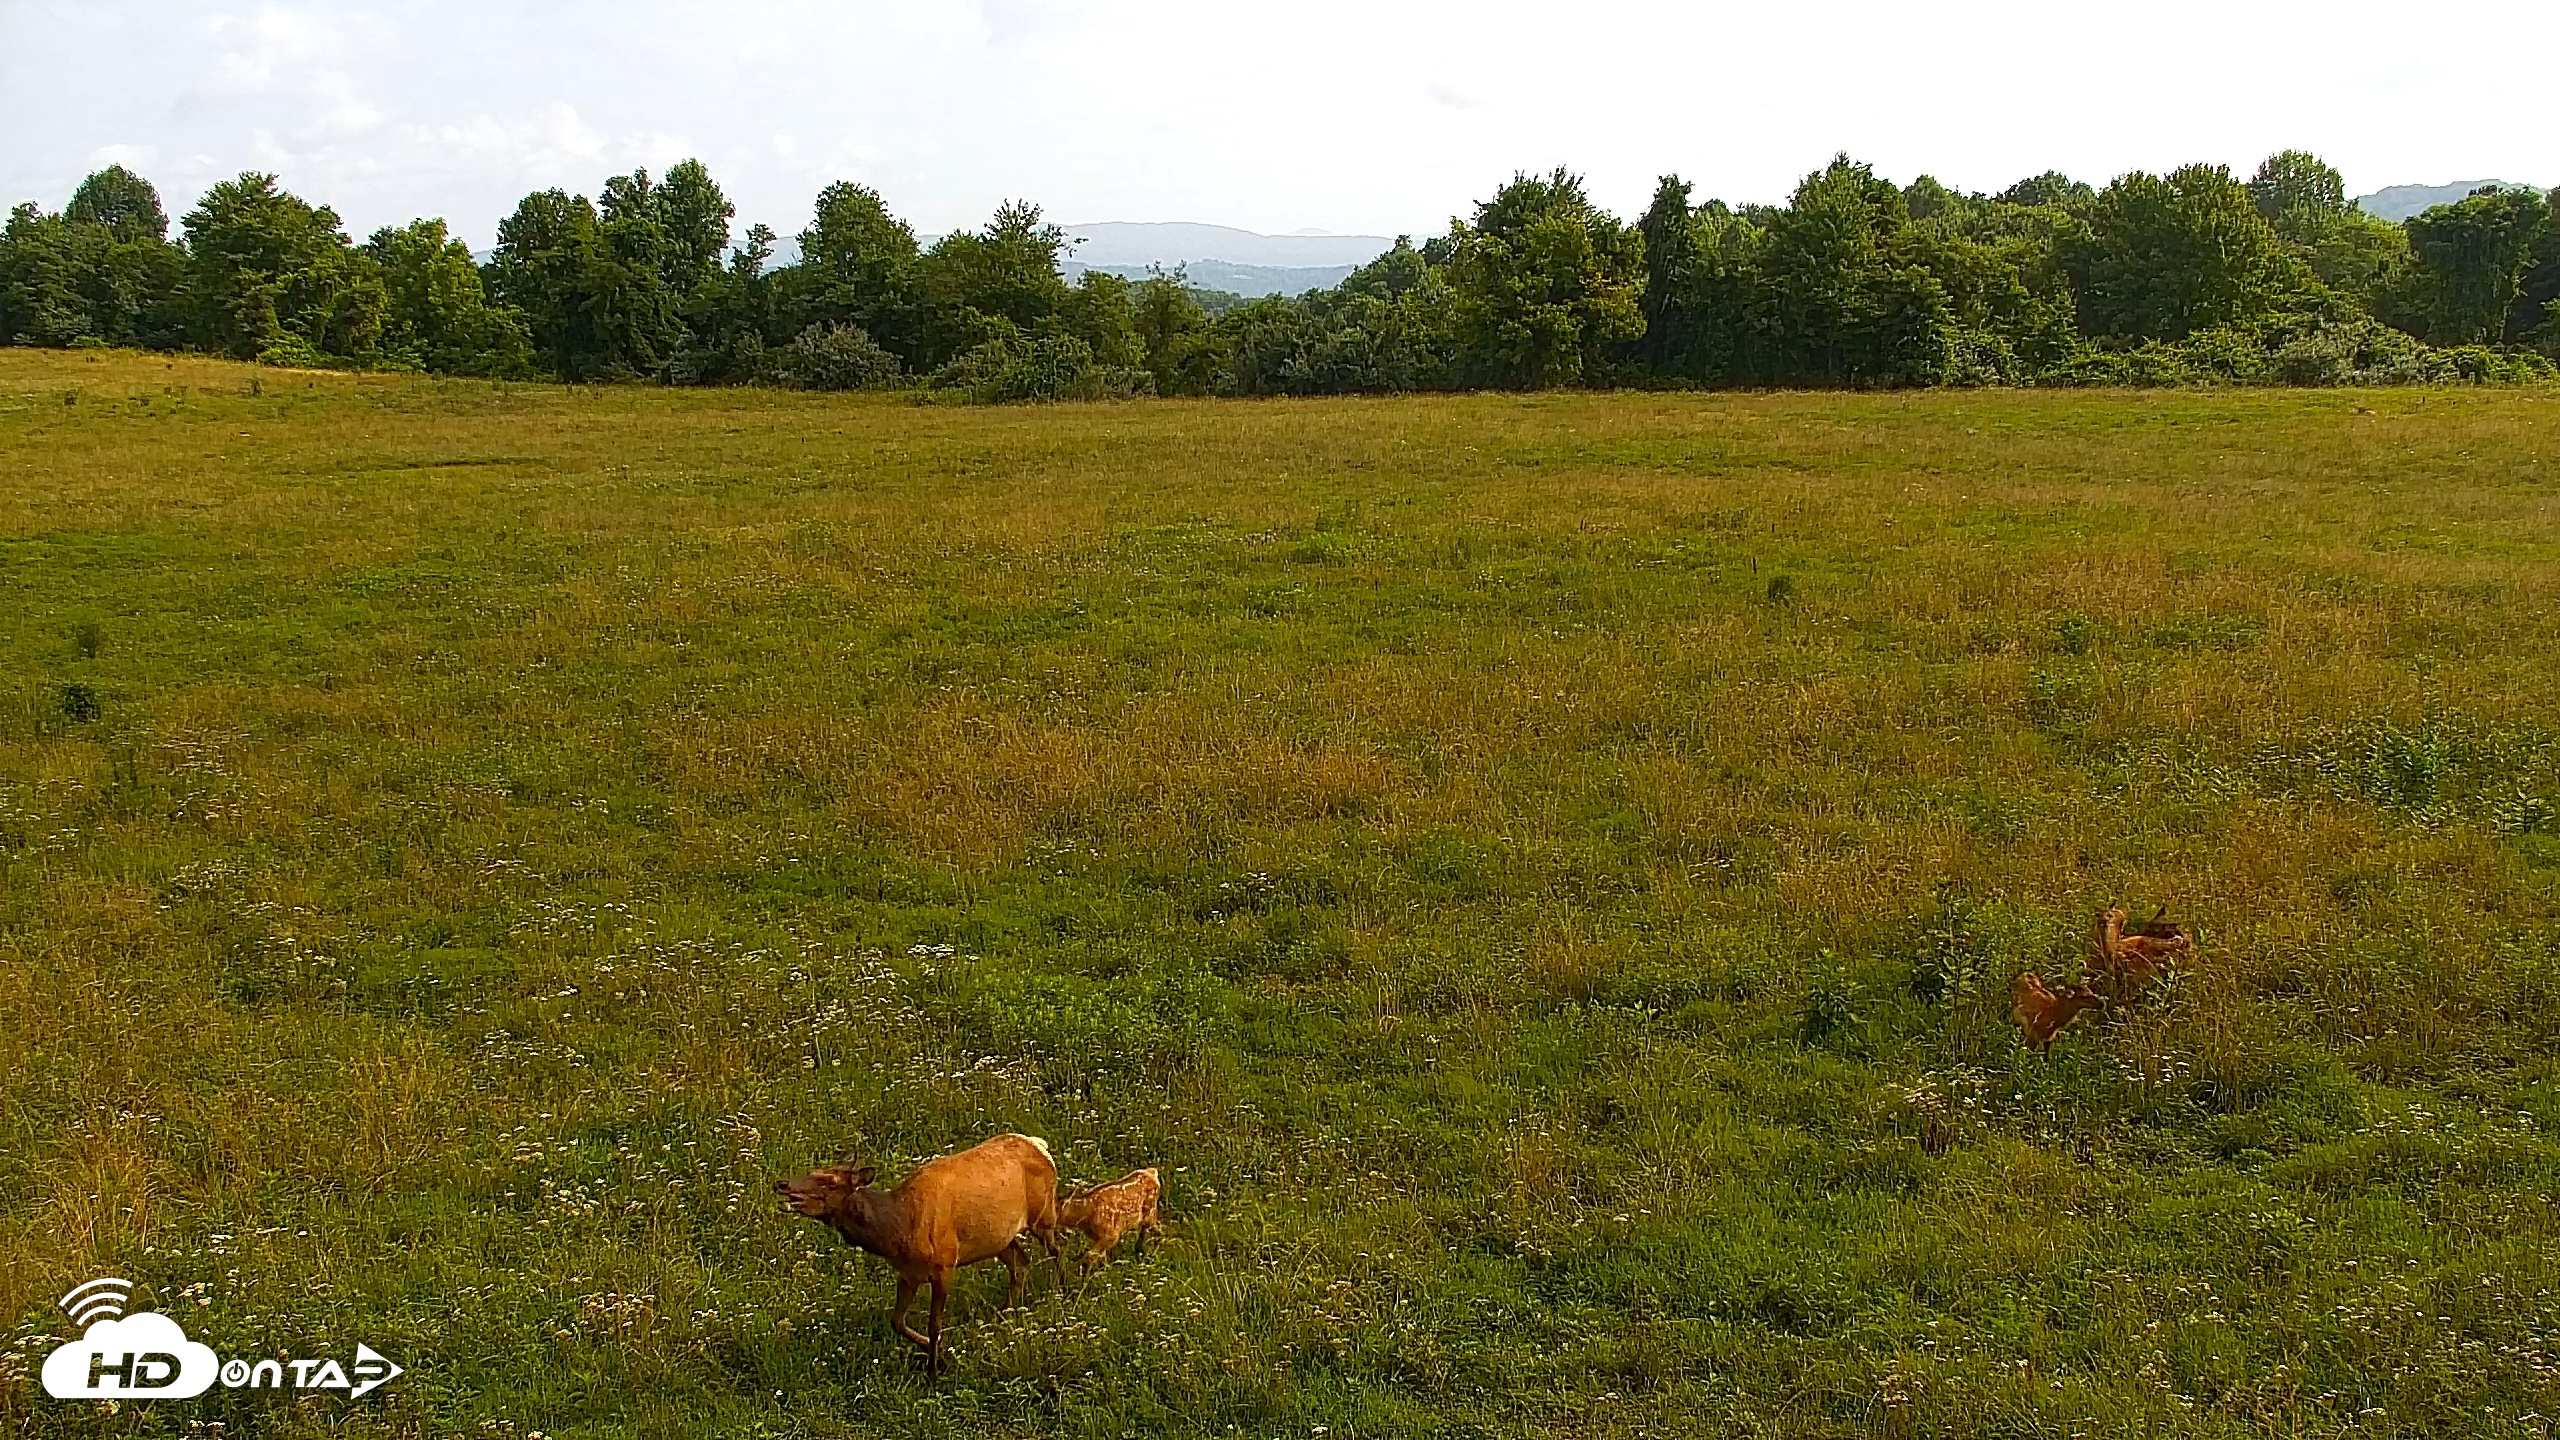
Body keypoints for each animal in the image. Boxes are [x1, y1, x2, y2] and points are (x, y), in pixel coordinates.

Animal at [774, 1133, 1062, 1373]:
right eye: (812, 1171)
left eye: (831, 1182)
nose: (782, 1183)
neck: (900, 1230)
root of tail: (1039, 1145)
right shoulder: (907, 1273)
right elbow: (896, 1321)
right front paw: (938, 1354)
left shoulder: (945, 1264)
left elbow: (934, 1324)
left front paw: (934, 1370)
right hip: (999, 1239)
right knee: (1020, 1262)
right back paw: (1003, 1314)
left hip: (1043, 1213)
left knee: (1057, 1248)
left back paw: (1062, 1291)